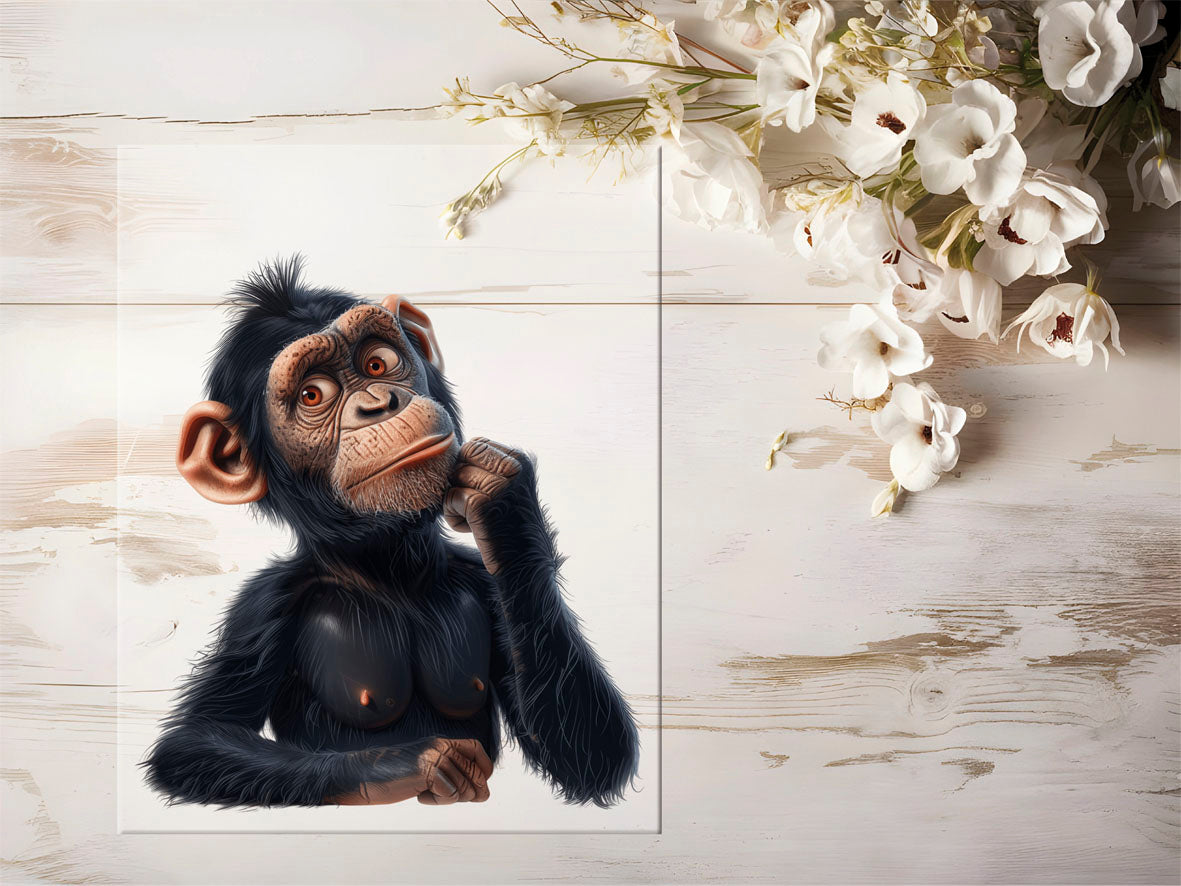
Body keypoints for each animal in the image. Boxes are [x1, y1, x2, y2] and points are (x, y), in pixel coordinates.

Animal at [143, 258, 639, 808]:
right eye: (313, 395)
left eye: (378, 363)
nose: (378, 402)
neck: (391, 569)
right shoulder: (263, 607)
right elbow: (196, 740)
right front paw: (419, 764)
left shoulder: (485, 582)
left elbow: (593, 755)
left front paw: (500, 500)